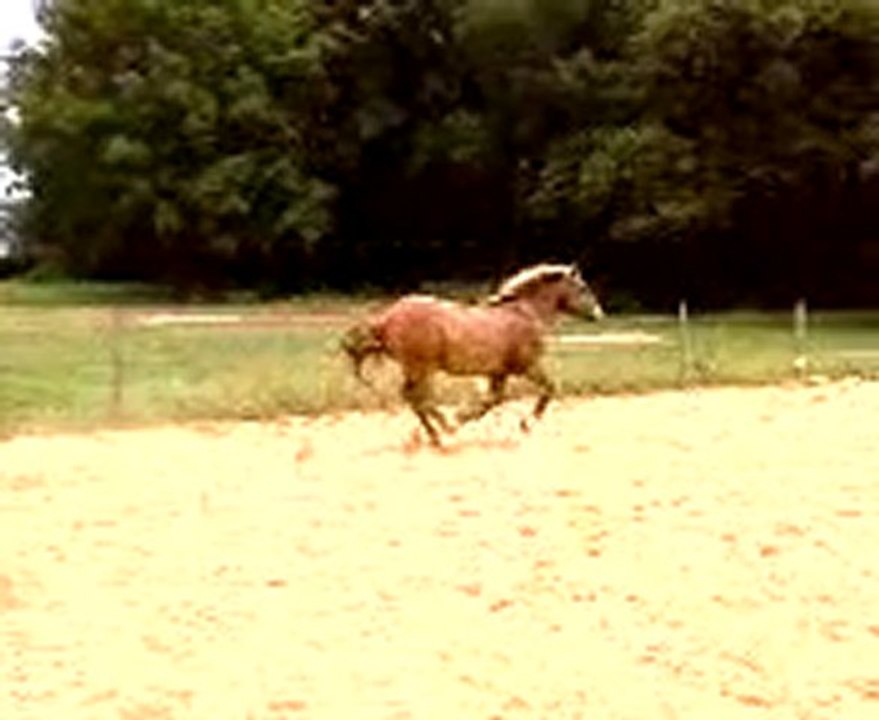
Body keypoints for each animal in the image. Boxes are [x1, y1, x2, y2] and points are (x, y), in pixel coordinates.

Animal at [341, 263, 604, 446]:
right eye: (583, 288)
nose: (599, 314)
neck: (525, 314)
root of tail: (387, 318)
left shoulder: (498, 372)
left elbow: (494, 399)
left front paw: (464, 416)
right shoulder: (527, 366)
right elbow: (550, 388)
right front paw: (526, 424)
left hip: (419, 370)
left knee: (416, 399)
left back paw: (438, 432)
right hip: (421, 368)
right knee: (415, 398)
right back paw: (443, 429)